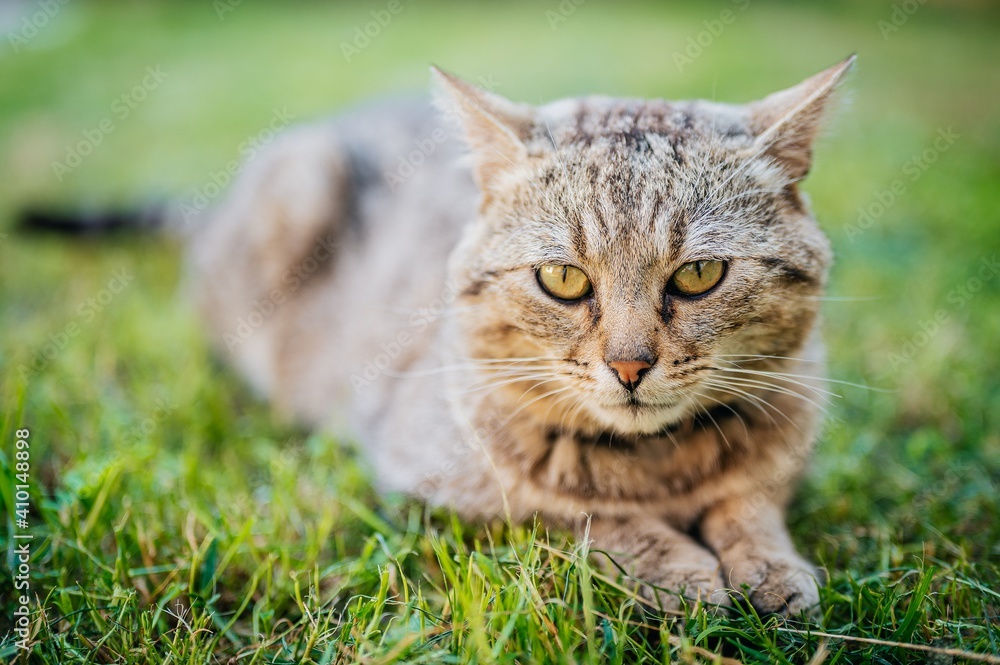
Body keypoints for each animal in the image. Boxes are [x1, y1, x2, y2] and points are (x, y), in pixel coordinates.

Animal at [189, 54, 860, 616]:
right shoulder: (442, 478)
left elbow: (749, 502)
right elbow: (585, 515)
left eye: (699, 274)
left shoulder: (788, 432)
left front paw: (770, 568)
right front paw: (683, 570)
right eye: (563, 278)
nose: (630, 366)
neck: (655, 466)